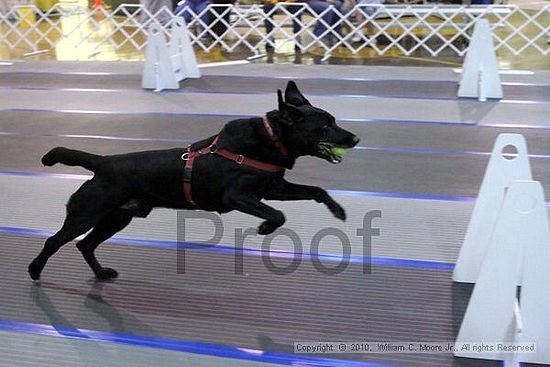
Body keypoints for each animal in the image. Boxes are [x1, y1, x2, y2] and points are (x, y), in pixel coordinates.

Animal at [28, 81, 360, 282]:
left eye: (333, 121)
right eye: (324, 127)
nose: (355, 139)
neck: (270, 142)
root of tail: (103, 162)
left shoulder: (273, 189)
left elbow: (316, 190)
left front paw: (339, 211)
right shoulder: (236, 196)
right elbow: (278, 214)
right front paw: (266, 227)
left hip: (117, 217)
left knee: (85, 245)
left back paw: (101, 274)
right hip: (89, 213)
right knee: (55, 240)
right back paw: (34, 270)